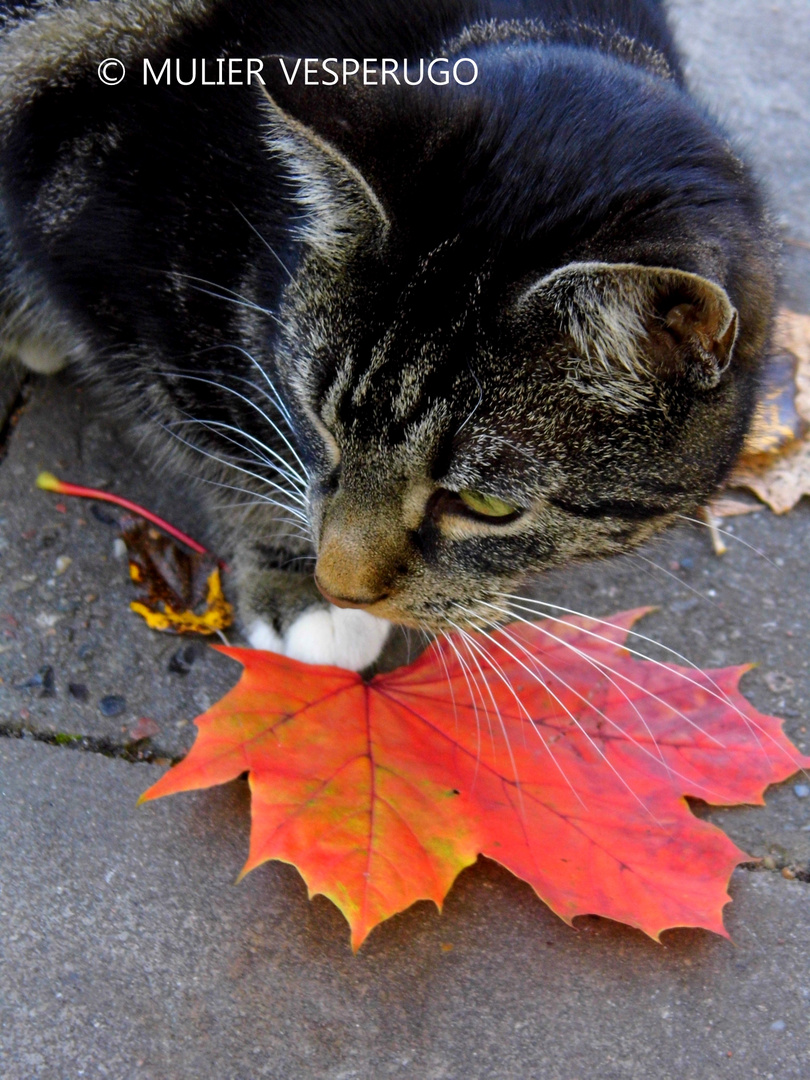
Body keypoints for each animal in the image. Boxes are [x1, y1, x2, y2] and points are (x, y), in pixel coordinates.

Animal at [0, 2, 777, 665]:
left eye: (488, 506)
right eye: (322, 424)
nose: (338, 584)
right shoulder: (104, 242)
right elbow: (207, 427)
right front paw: (299, 587)